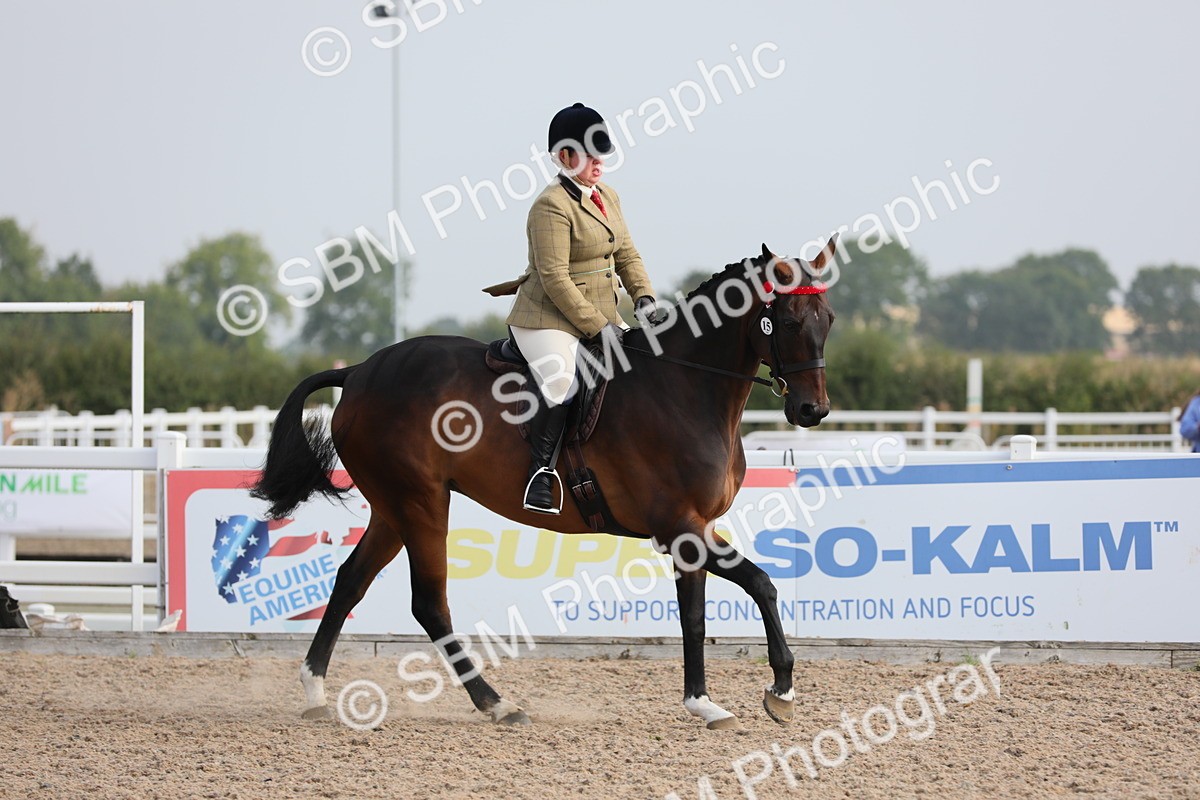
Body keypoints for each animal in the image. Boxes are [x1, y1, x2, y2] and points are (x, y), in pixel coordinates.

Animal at [250, 239, 837, 730]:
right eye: (787, 321)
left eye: (827, 319)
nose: (812, 410)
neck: (684, 387)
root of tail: (359, 372)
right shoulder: (678, 527)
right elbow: (725, 600)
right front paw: (734, 698)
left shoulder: (697, 528)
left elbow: (734, 597)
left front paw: (751, 695)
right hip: (419, 503)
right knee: (429, 604)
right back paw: (497, 704)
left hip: (393, 507)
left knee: (351, 580)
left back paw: (315, 691)